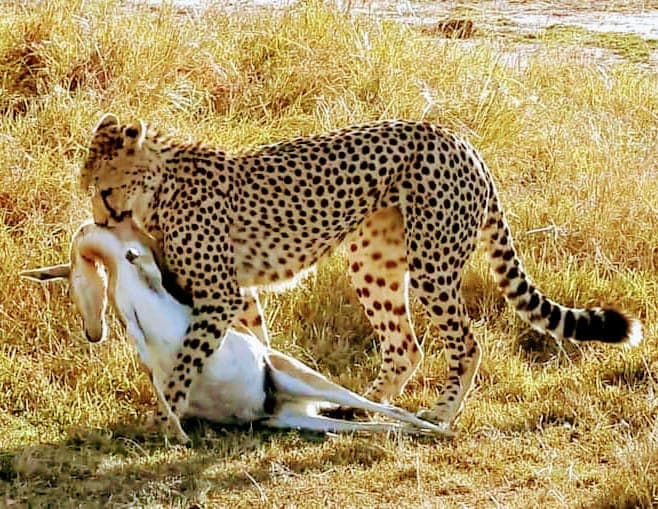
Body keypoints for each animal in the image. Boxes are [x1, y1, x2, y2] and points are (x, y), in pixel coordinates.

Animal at [80, 113, 642, 434]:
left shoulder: (219, 293)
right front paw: (265, 389)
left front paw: (165, 416)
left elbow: (184, 361)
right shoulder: (236, 294)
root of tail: (459, 140)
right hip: (372, 261)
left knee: (465, 343)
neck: (159, 185)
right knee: (406, 345)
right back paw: (361, 408)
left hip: (432, 262)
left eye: (103, 190)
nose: (101, 220)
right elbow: (253, 342)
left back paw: (440, 414)